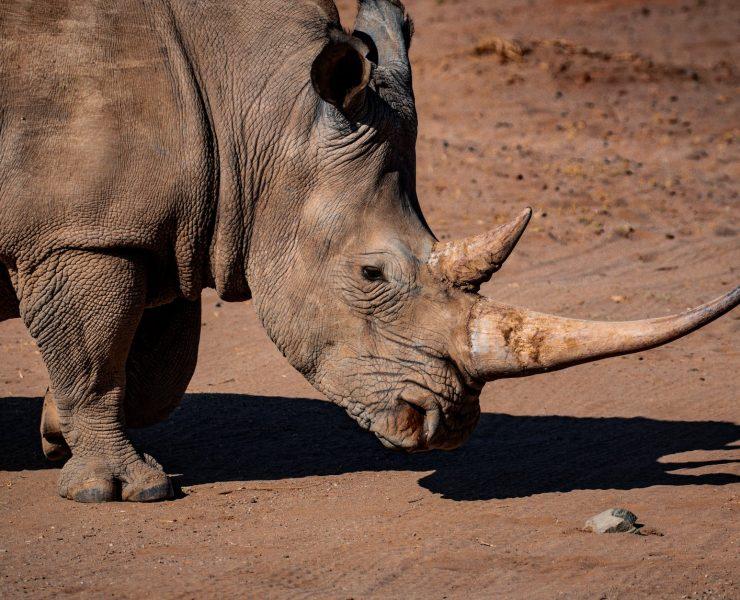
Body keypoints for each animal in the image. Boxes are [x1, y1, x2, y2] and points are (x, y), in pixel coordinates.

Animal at [0, 0, 737, 503]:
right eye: (371, 272)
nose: (446, 426)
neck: (254, 110)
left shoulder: (156, 231)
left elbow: (156, 372)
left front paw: (54, 431)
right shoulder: (82, 234)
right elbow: (96, 356)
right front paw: (125, 491)